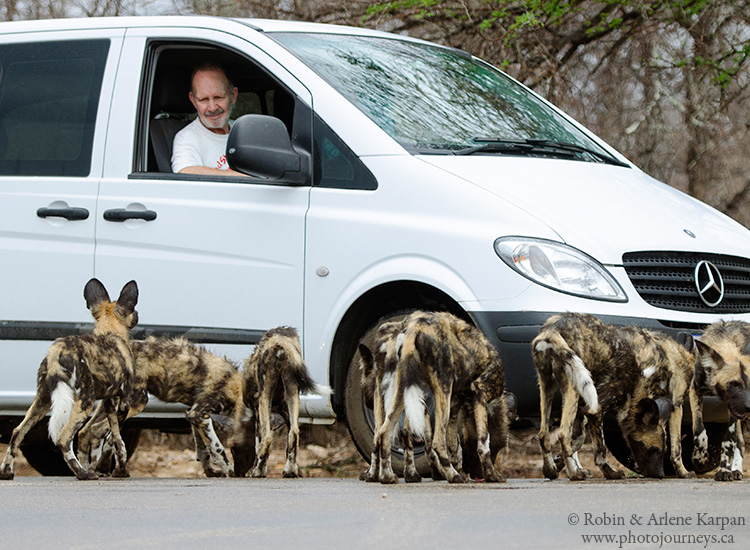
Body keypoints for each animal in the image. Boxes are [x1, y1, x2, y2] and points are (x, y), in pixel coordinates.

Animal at [0, 278, 139, 480]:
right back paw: (82, 473)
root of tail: (56, 350)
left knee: (17, 432)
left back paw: (6, 472)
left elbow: (109, 440)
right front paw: (119, 471)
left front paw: (99, 467)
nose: (137, 315)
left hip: (42, 401)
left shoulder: (109, 402)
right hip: (85, 400)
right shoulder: (123, 404)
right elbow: (116, 442)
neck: (110, 332)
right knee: (63, 437)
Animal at [80, 336, 253, 478]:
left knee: (89, 431)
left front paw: (211, 471)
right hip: (136, 402)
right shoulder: (199, 414)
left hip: (108, 406)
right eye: (237, 449)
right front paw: (228, 469)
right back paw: (109, 469)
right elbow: (217, 448)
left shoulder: (194, 414)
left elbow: (204, 450)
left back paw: (90, 469)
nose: (241, 473)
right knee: (101, 432)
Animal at [244, 328, 326, 478]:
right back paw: (290, 471)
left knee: (268, 438)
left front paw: (257, 469)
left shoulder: (259, 415)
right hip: (292, 393)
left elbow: (258, 446)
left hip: (265, 397)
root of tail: (280, 342)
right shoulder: (286, 412)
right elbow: (290, 445)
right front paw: (295, 470)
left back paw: (258, 471)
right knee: (294, 433)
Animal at [532, 314, 696, 484]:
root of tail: (552, 328)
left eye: (662, 451)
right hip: (572, 389)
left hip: (548, 385)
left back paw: (551, 470)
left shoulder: (583, 409)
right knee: (563, 434)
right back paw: (575, 474)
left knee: (543, 434)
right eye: (653, 450)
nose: (660, 474)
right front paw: (610, 472)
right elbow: (600, 450)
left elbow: (578, 439)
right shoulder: (595, 409)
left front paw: (559, 463)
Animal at [692, 322, 750, 480]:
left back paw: (735, 469)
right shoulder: (695, 391)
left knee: (739, 442)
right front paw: (700, 458)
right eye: (734, 384)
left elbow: (728, 442)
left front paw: (724, 470)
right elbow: (699, 430)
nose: (749, 407)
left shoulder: (734, 411)